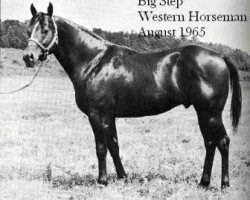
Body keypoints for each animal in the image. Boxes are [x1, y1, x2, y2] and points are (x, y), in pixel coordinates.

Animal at [22, 3, 241, 188]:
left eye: (45, 30)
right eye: (28, 30)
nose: (28, 57)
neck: (94, 61)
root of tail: (220, 56)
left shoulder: (97, 115)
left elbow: (101, 147)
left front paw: (102, 181)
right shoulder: (109, 116)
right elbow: (114, 146)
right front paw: (122, 177)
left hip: (211, 113)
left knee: (222, 142)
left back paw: (224, 184)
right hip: (203, 112)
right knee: (210, 143)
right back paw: (203, 183)